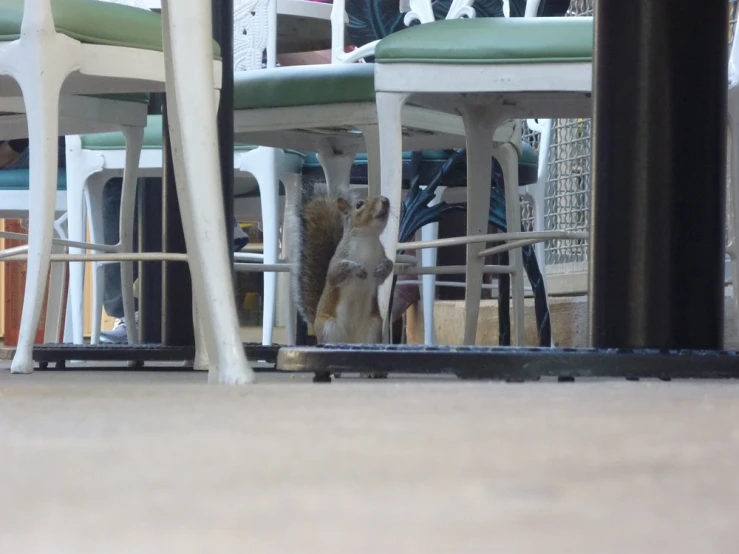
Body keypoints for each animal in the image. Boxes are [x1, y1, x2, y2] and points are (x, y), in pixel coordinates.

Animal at [286, 181, 396, 344]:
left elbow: (384, 273)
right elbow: (334, 274)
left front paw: (383, 268)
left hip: (373, 328)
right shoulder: (339, 257)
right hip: (329, 328)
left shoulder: (381, 255)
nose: (385, 200)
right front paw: (356, 268)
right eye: (359, 204)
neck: (367, 238)